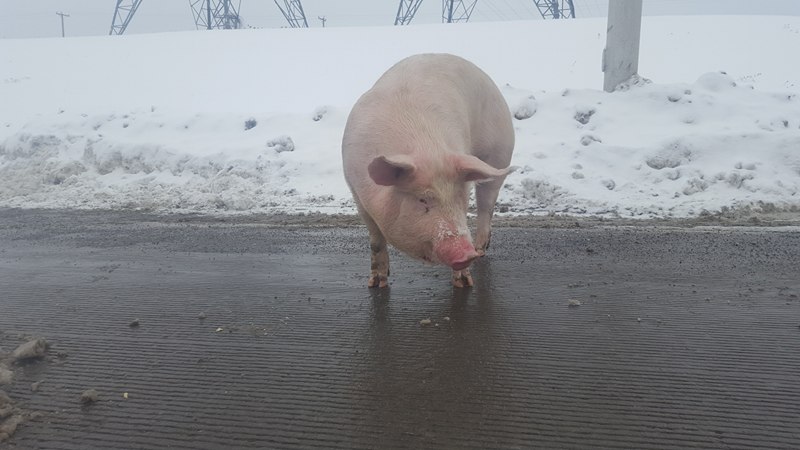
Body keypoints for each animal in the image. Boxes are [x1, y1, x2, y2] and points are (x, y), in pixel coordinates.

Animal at [341, 53, 515, 288]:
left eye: (461, 198)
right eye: (422, 199)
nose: (465, 253)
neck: (426, 148)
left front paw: (465, 284)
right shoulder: (357, 192)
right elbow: (376, 240)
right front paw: (376, 284)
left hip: (498, 153)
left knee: (486, 206)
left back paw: (480, 251)